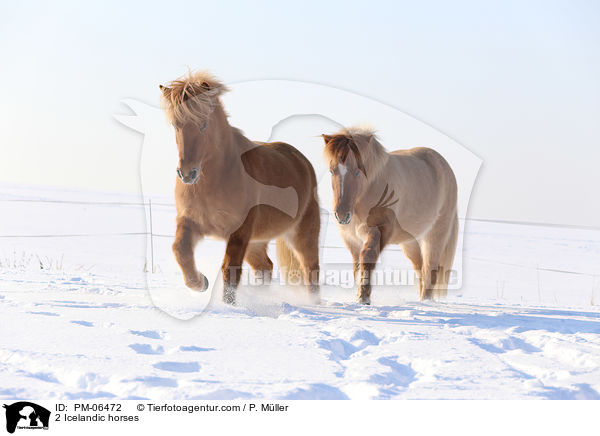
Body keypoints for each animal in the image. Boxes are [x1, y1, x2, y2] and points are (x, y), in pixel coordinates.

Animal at [158, 70, 318, 304]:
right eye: (176, 125)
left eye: (203, 124)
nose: (187, 173)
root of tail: (301, 160)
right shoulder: (190, 221)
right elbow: (180, 250)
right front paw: (200, 283)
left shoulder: (239, 232)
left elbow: (230, 269)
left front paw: (229, 305)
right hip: (257, 242)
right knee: (265, 267)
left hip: (301, 233)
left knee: (310, 269)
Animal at [324, 126, 460, 304]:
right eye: (332, 171)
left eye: (357, 172)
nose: (341, 214)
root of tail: (446, 168)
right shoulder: (351, 239)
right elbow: (357, 265)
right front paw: (357, 294)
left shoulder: (379, 230)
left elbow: (367, 257)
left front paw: (363, 298)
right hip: (410, 242)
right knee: (420, 268)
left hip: (435, 234)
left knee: (431, 268)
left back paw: (425, 302)